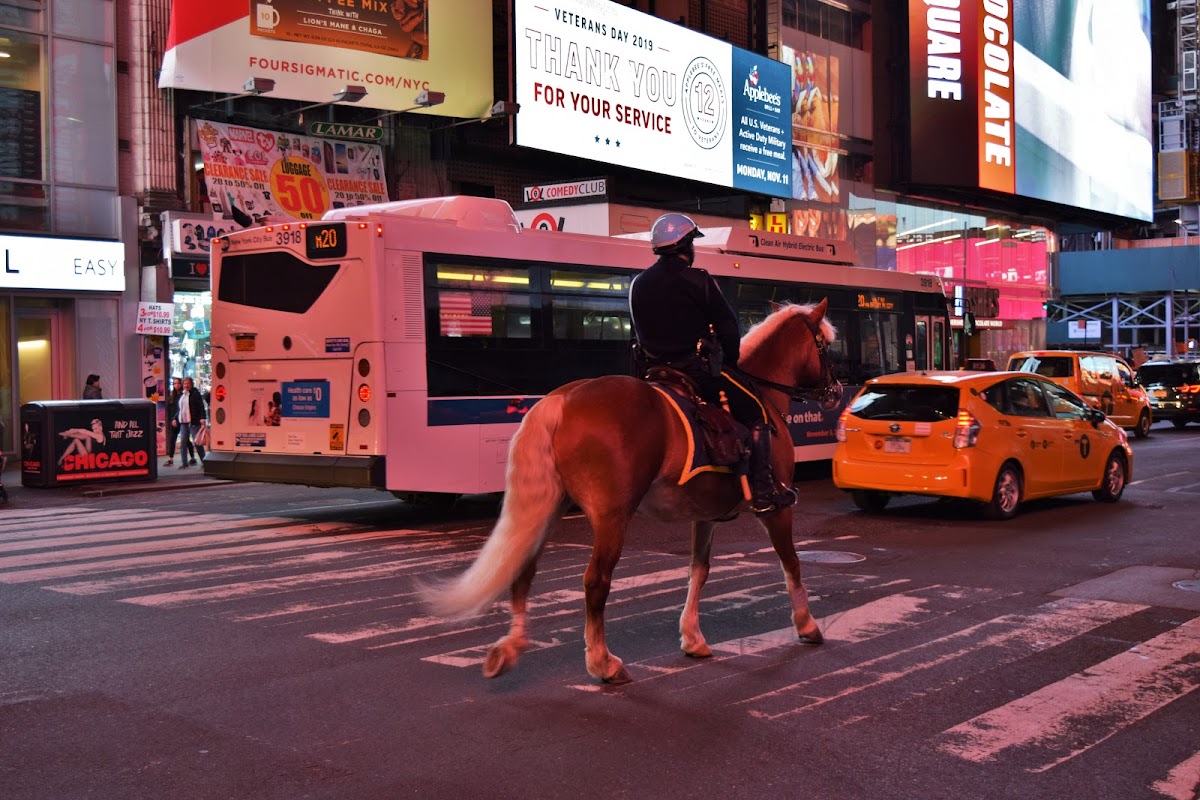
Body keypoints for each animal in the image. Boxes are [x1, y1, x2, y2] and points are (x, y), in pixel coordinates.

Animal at [422, 298, 844, 681]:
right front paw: (806, 625)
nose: (836, 391)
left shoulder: (704, 515)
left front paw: (692, 637)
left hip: (550, 505)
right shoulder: (777, 506)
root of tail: (561, 400)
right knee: (595, 581)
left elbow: (698, 570)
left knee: (524, 569)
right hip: (612, 516)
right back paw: (602, 662)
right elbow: (791, 562)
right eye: (825, 345)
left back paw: (512, 646)